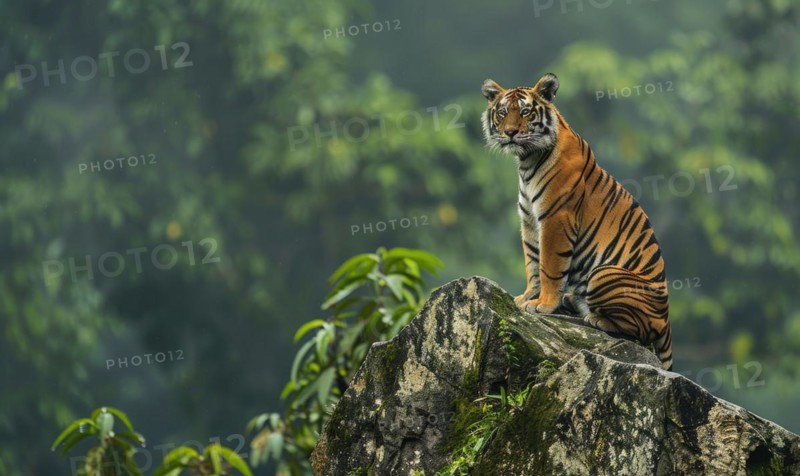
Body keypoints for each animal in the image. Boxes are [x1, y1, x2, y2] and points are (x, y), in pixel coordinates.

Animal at [481, 73, 673, 370]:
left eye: (525, 112)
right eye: (502, 113)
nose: (510, 132)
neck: (526, 161)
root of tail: (666, 321)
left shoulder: (556, 219)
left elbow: (549, 267)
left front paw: (544, 304)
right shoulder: (529, 221)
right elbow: (532, 263)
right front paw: (527, 297)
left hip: (605, 273)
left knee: (639, 330)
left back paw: (597, 318)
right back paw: (573, 302)